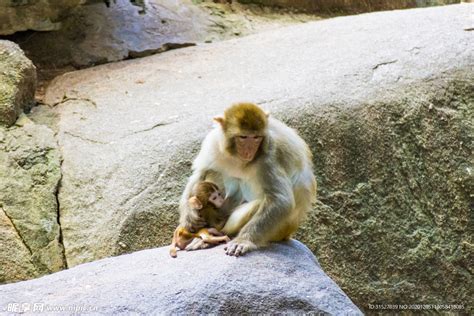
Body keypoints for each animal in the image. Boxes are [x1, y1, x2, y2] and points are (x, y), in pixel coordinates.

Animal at [178, 102, 314, 256]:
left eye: (256, 137)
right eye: (243, 137)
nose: (249, 151)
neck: (237, 157)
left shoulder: (269, 156)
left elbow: (281, 200)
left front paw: (243, 241)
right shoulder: (213, 143)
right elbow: (199, 173)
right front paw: (188, 215)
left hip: (279, 231)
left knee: (259, 204)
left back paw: (218, 234)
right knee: (213, 172)